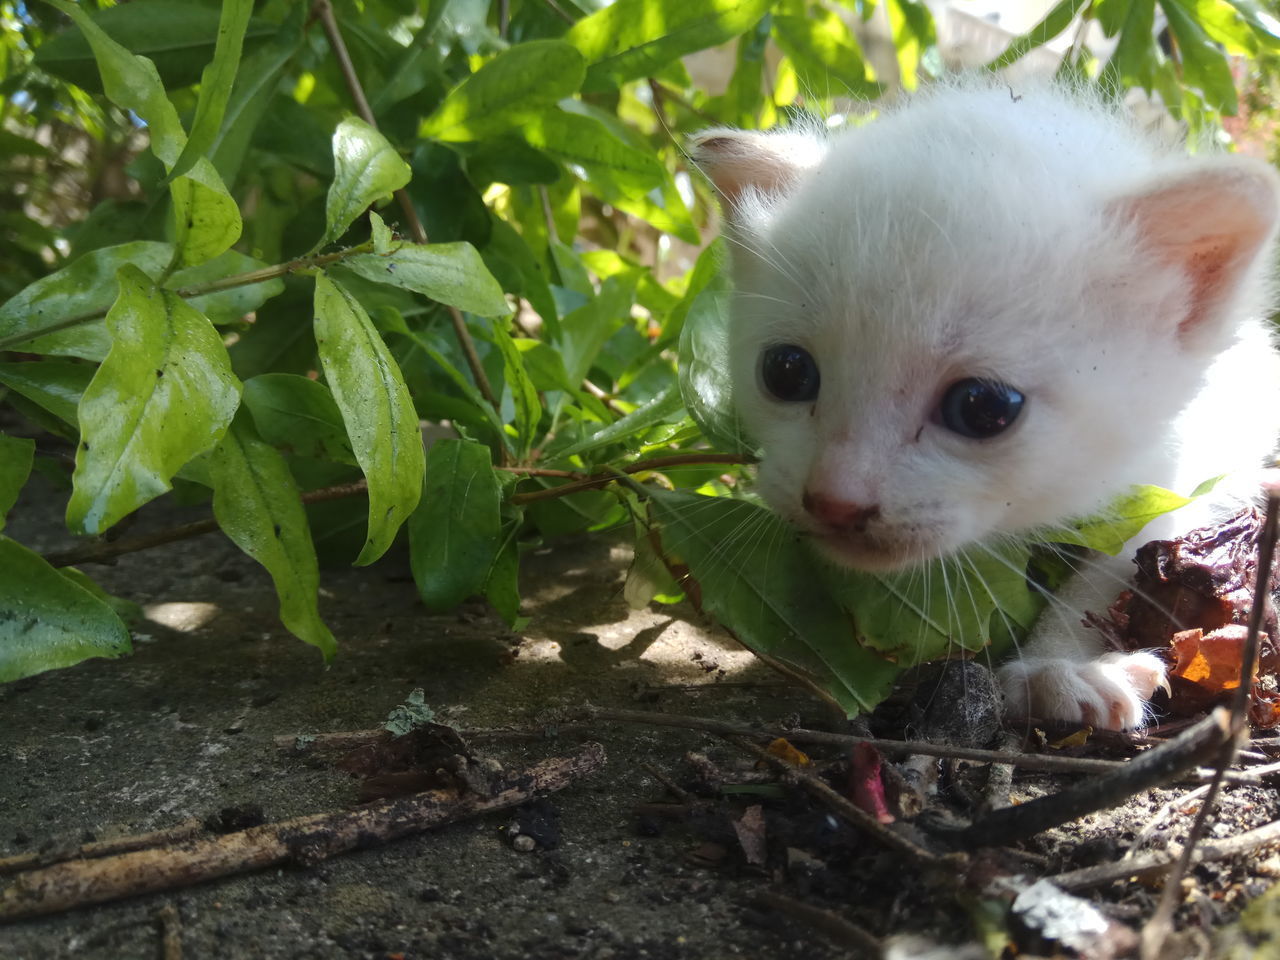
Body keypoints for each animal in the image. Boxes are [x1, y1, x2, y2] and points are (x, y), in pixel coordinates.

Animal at [696, 82, 1280, 732]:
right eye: (786, 372)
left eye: (983, 407)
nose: (833, 502)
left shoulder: (1187, 468)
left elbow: (1121, 562)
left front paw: (1062, 665)